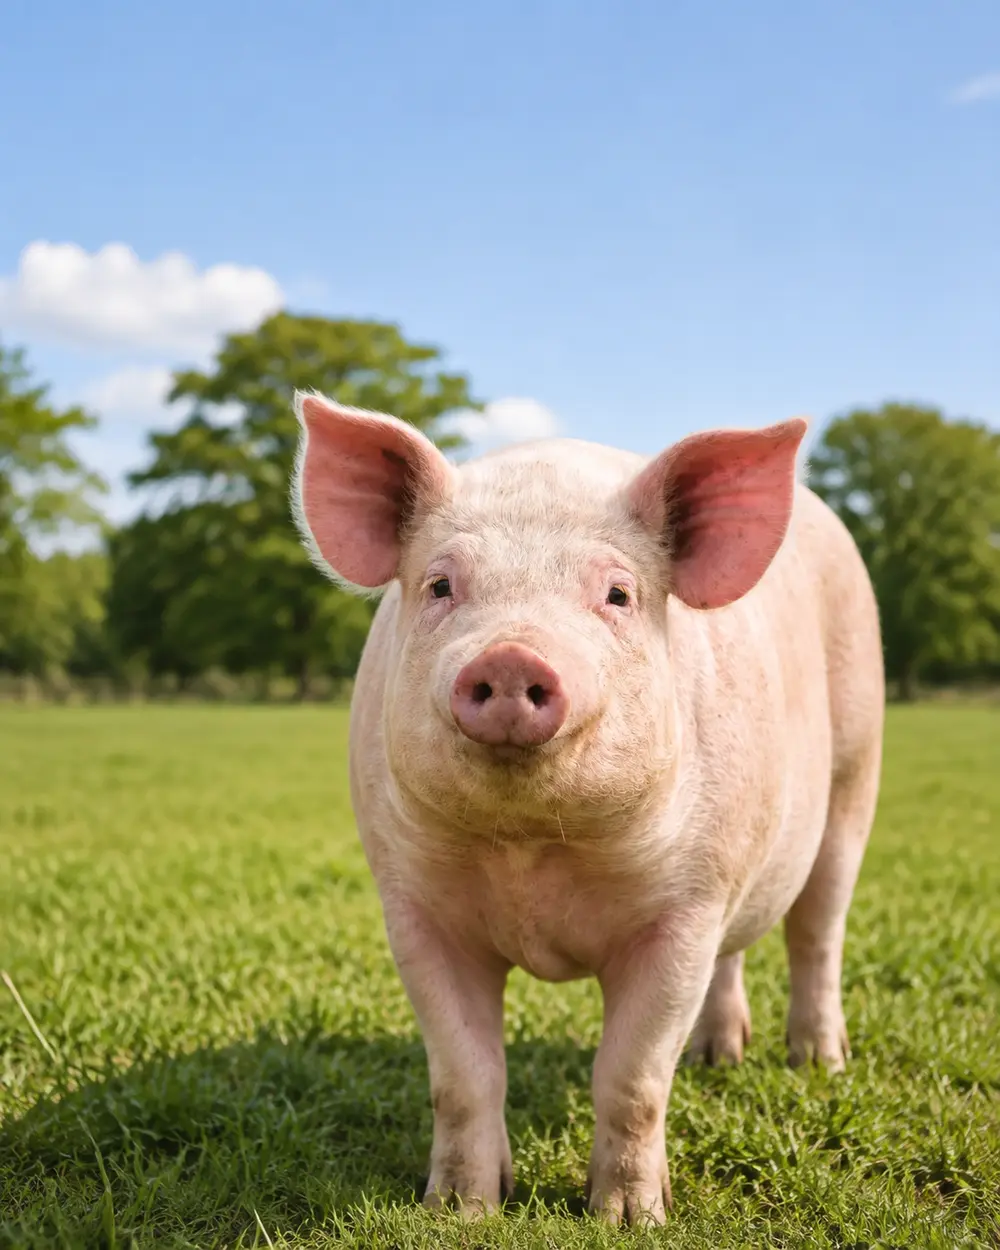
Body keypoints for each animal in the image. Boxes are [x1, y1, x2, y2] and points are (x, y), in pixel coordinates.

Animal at [291, 391, 884, 1227]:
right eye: (440, 586)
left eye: (618, 595)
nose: (511, 656)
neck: (533, 849)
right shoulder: (414, 910)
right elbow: (463, 1075)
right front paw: (460, 1210)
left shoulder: (684, 910)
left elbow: (631, 1078)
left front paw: (629, 1219)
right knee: (740, 949)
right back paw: (717, 1056)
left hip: (857, 766)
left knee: (818, 930)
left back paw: (817, 1065)